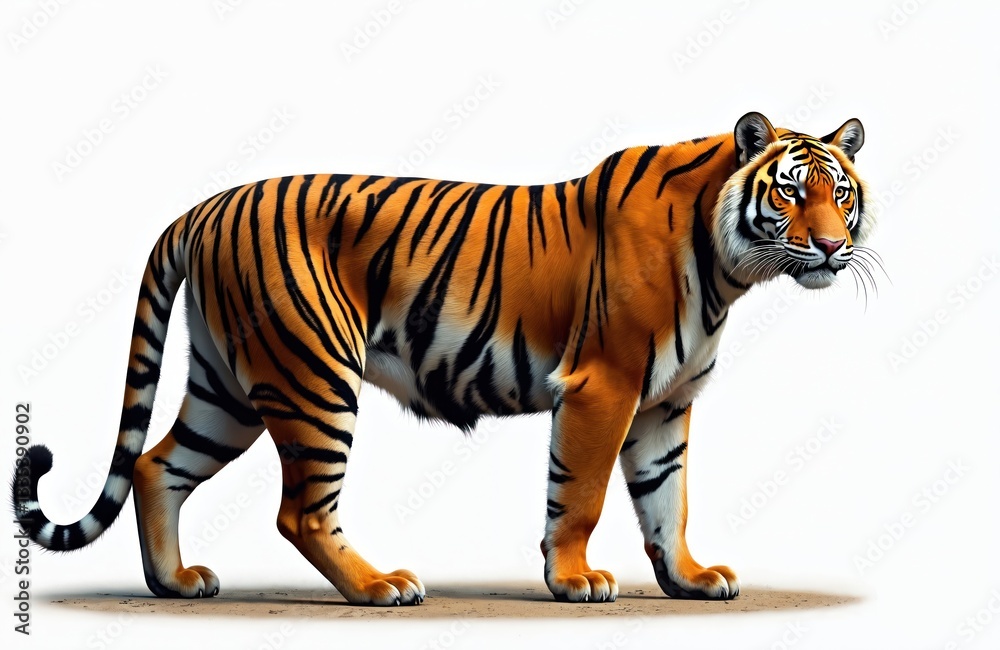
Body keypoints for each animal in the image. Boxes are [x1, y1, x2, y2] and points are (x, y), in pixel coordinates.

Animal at [11, 112, 874, 605]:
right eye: (791, 192)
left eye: (841, 193)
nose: (835, 246)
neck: (727, 267)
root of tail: (202, 206)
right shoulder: (603, 386)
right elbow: (584, 495)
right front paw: (574, 580)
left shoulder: (664, 402)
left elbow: (669, 500)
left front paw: (689, 579)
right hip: (314, 377)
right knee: (300, 510)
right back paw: (379, 587)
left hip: (227, 388)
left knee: (157, 464)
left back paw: (175, 583)